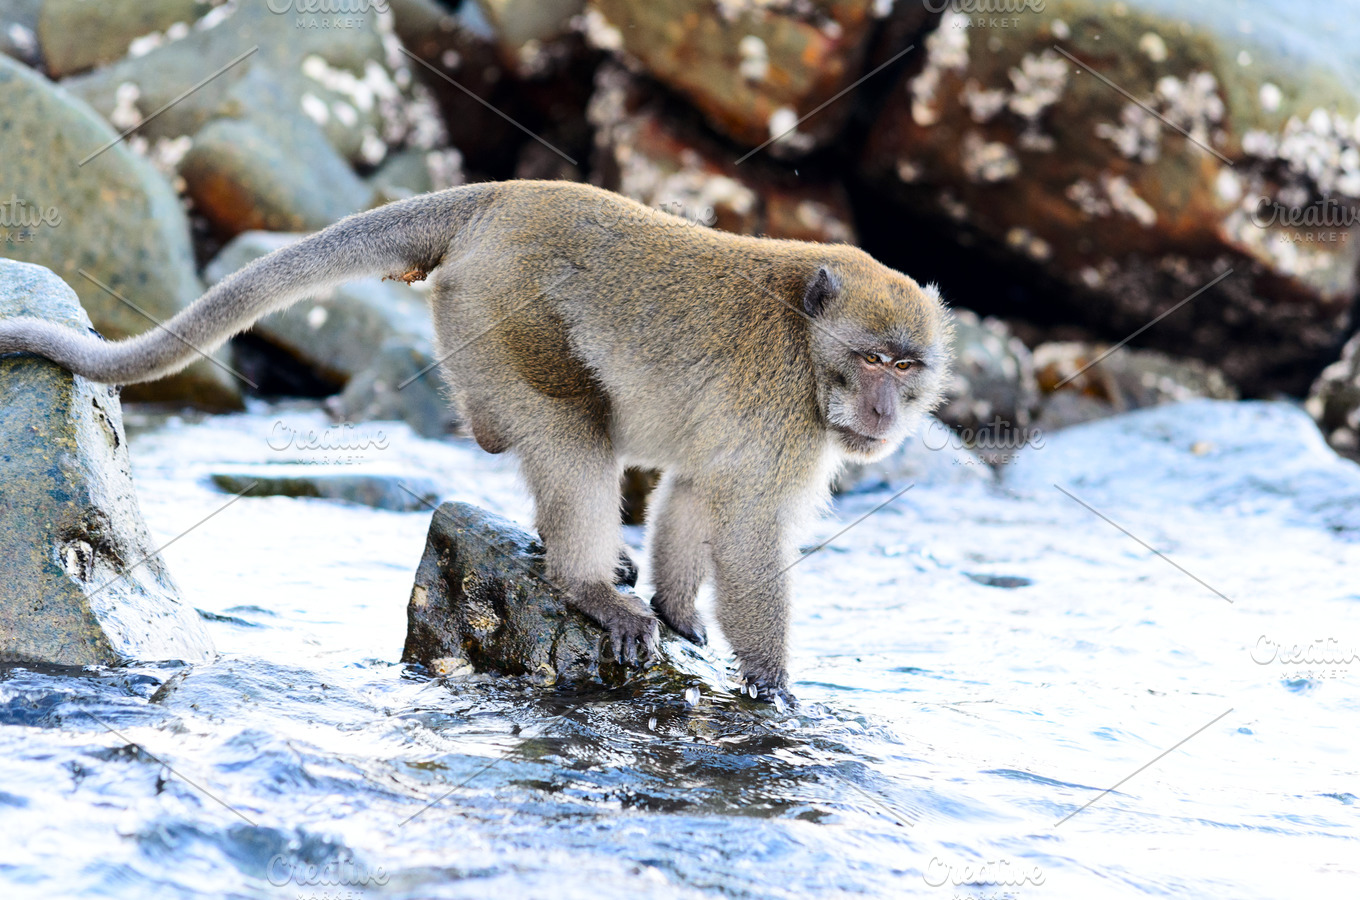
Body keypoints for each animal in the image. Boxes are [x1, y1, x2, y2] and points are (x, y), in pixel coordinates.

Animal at [0, 182, 952, 706]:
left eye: (907, 366)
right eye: (872, 359)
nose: (884, 411)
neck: (810, 351)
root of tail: (502, 196)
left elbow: (694, 495)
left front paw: (682, 609)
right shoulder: (782, 418)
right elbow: (749, 532)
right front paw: (775, 685)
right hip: (499, 308)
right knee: (572, 425)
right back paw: (584, 582)